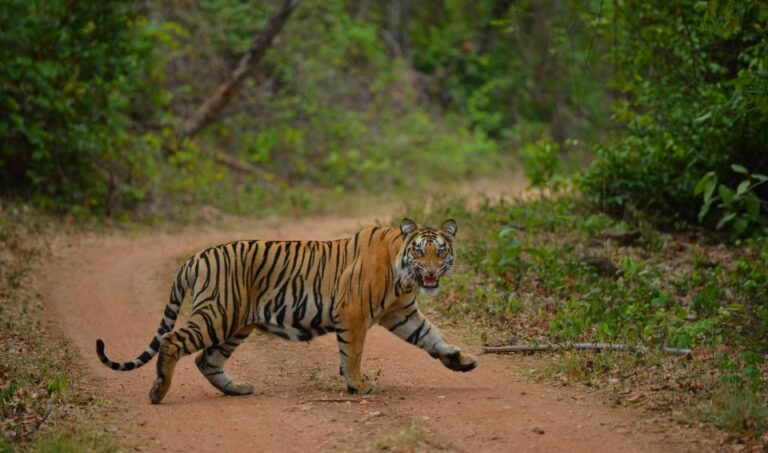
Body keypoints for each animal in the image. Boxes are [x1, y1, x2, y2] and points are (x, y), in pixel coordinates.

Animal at [95, 216, 476, 402]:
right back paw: (158, 391)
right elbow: (352, 354)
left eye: (441, 250)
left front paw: (461, 361)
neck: (404, 275)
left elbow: (432, 337)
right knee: (172, 341)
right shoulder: (353, 314)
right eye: (420, 250)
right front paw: (357, 385)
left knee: (207, 359)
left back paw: (237, 389)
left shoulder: (402, 314)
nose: (430, 272)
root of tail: (195, 256)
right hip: (218, 314)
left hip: (237, 324)